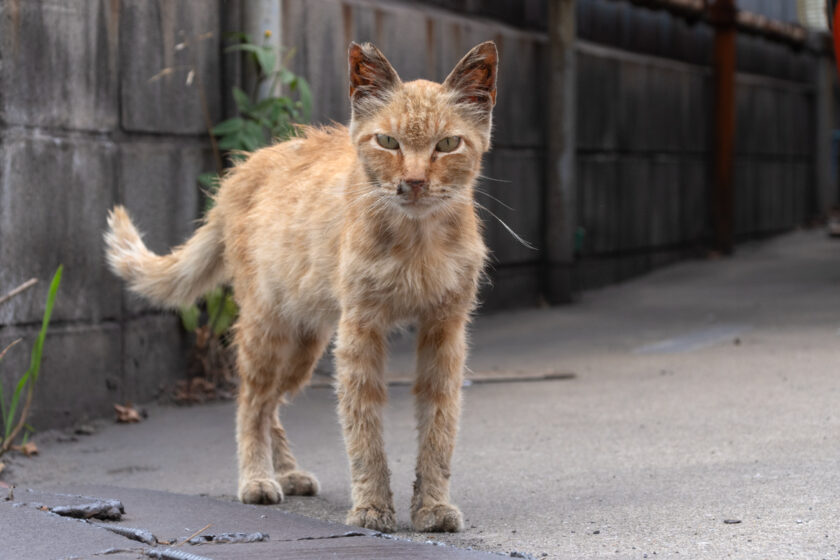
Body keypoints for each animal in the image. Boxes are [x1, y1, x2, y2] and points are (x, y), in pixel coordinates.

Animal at [105, 41, 498, 532]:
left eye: (447, 144)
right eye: (388, 142)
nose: (414, 182)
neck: (417, 240)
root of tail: (239, 173)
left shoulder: (445, 331)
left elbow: (439, 428)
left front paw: (431, 507)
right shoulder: (360, 333)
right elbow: (363, 429)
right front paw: (372, 507)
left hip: (304, 347)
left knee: (271, 404)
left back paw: (288, 473)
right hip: (266, 331)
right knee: (250, 401)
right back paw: (257, 479)